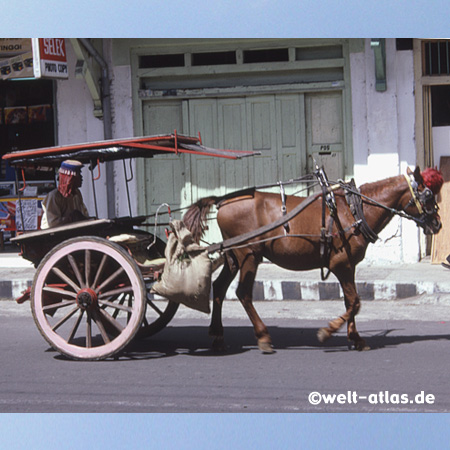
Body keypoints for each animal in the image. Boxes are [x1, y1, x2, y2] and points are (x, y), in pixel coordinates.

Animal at [183, 167, 442, 354]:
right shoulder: (341, 264)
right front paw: (328, 332)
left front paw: (355, 338)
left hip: (233, 256)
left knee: (219, 288)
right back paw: (263, 337)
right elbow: (355, 302)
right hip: (250, 255)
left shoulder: (348, 266)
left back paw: (218, 336)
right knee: (243, 293)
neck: (354, 210)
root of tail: (223, 200)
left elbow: (350, 302)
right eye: (428, 195)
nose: (438, 224)